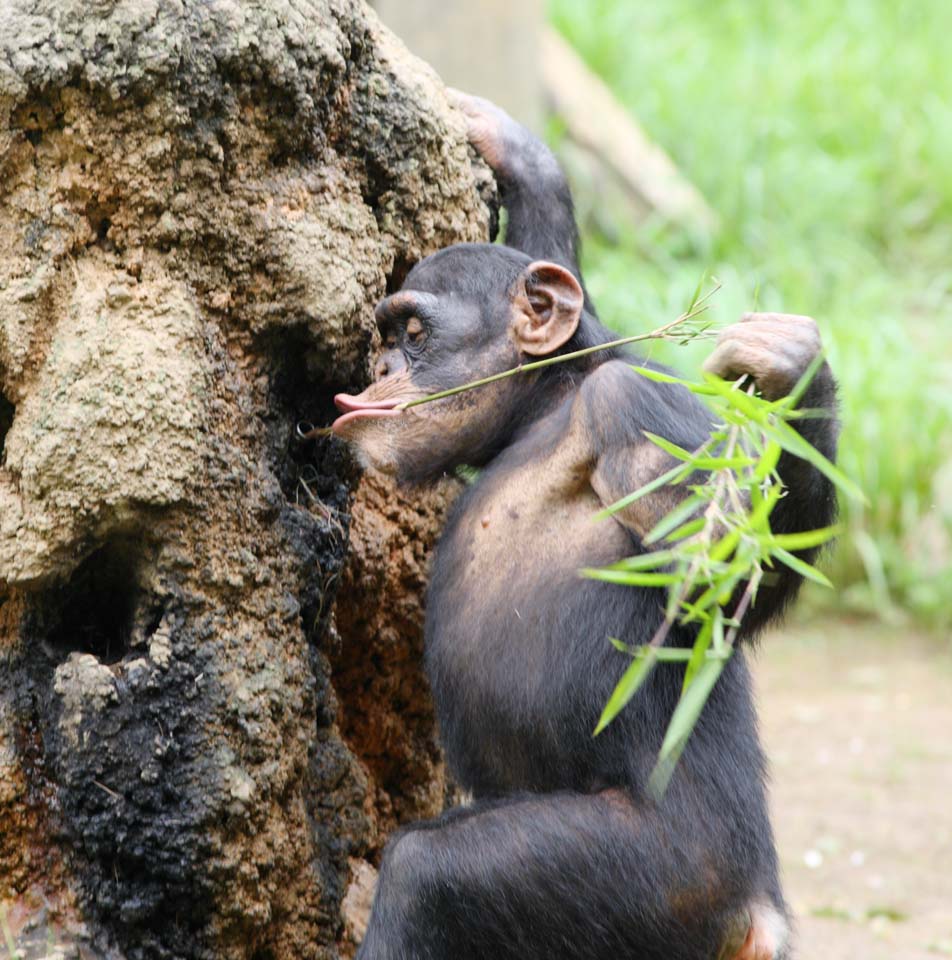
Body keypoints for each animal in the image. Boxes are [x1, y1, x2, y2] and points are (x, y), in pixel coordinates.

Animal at [330, 92, 836, 960]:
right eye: (386, 337)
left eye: (415, 335)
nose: (382, 369)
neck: (544, 407)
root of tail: (757, 915)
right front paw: (519, 152)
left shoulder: (636, 411)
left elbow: (722, 585)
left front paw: (793, 372)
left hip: (662, 882)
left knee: (431, 875)